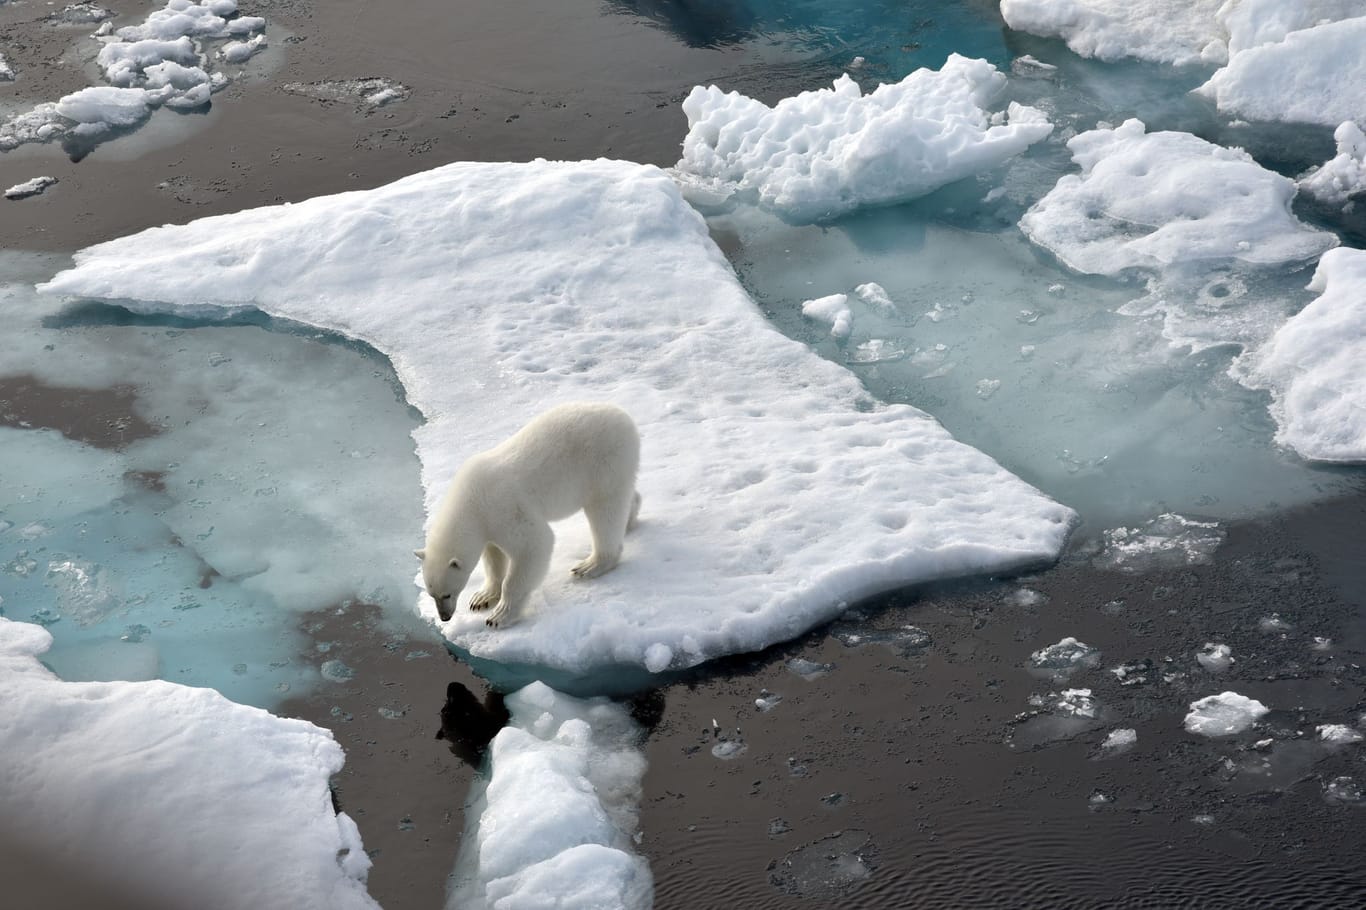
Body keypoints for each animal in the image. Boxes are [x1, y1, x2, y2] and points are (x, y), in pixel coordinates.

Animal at [412, 401, 642, 623]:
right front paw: (482, 598)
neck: (470, 501)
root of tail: (625, 418)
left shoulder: (503, 508)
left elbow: (534, 544)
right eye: (432, 594)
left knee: (605, 510)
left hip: (603, 461)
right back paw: (629, 519)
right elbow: (494, 557)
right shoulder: (487, 524)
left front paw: (500, 615)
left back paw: (591, 565)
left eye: (447, 594)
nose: (445, 617)